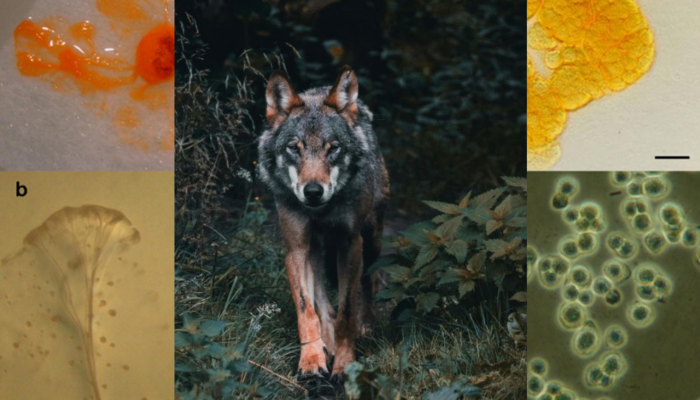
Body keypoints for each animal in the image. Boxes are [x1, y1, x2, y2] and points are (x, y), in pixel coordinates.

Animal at [257, 66, 389, 380]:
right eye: (294, 148)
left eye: (334, 149)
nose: (313, 191)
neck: (321, 212)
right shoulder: (296, 249)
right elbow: (308, 311)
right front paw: (311, 359)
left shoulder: (351, 244)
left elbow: (346, 311)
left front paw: (344, 363)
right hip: (314, 251)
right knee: (322, 302)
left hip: (372, 241)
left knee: (369, 282)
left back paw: (366, 326)